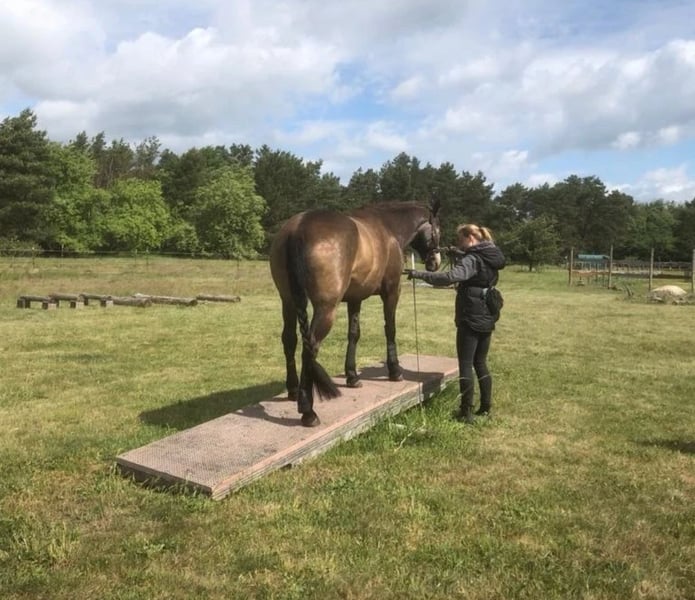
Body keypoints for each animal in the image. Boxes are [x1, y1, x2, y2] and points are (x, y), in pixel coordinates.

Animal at [269, 199, 441, 427]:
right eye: (438, 229)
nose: (435, 262)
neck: (389, 229)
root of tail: (298, 227)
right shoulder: (392, 291)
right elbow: (390, 329)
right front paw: (395, 370)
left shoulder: (355, 298)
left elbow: (353, 334)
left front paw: (352, 376)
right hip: (326, 307)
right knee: (310, 346)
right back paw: (308, 411)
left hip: (287, 301)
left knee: (289, 340)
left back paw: (293, 390)